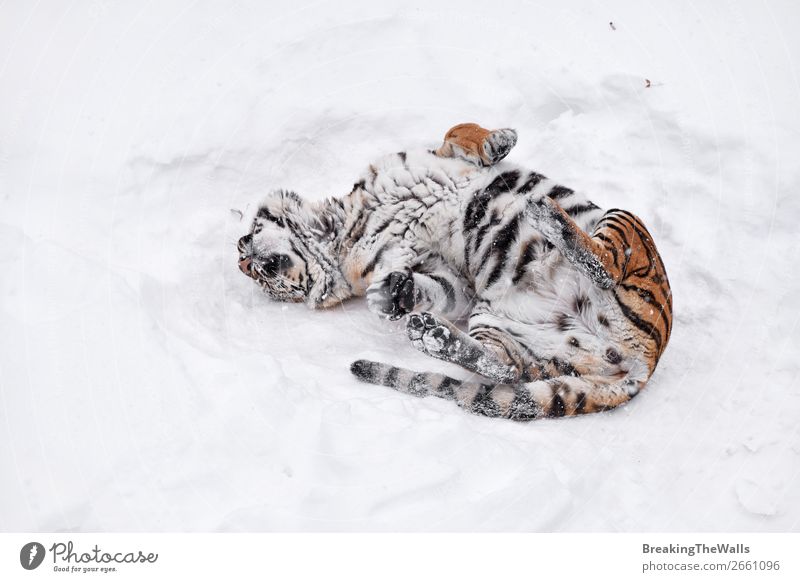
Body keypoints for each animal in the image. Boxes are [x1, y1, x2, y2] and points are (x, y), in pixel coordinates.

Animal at [239, 124, 676, 420]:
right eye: (258, 277)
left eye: (250, 233)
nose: (245, 259)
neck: (342, 231)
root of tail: (647, 362)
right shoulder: (451, 276)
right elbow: (439, 289)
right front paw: (391, 295)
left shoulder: (435, 159)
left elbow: (460, 132)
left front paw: (501, 140)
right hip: (501, 324)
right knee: (506, 367)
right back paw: (431, 334)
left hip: (623, 220)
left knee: (604, 262)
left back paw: (544, 214)